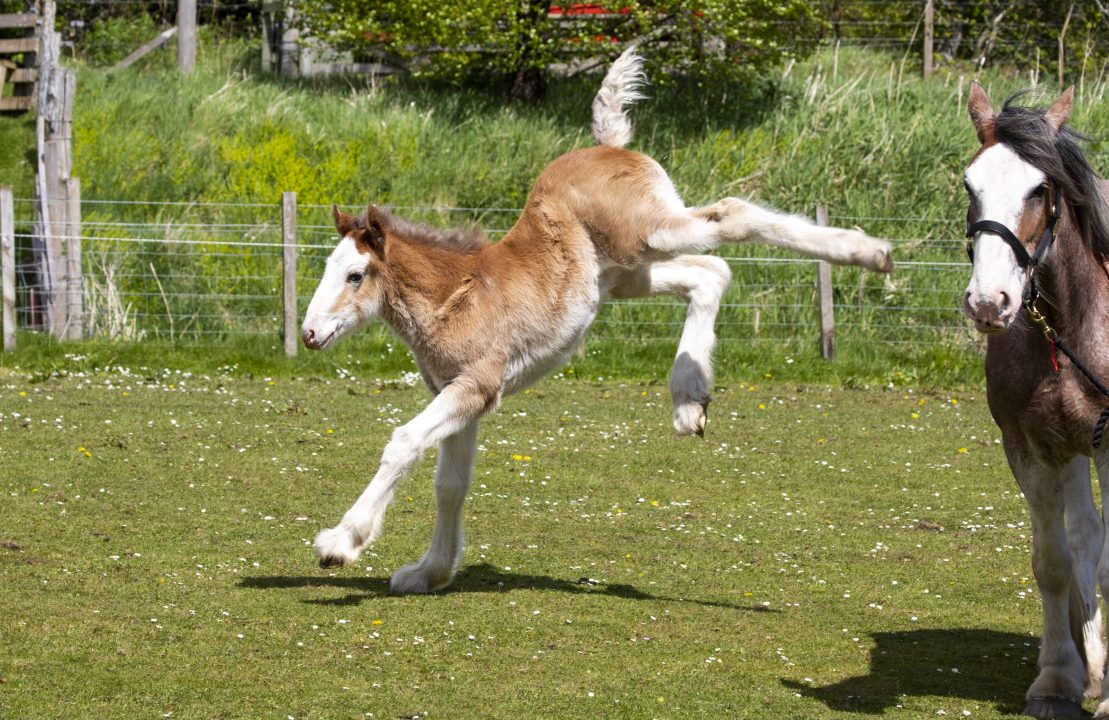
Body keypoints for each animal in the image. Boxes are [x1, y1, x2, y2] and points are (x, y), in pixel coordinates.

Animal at [303, 47, 891, 594]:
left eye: (355, 275)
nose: (309, 333)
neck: (456, 296)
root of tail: (610, 144)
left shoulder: (476, 386)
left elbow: (402, 443)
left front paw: (341, 542)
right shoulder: (459, 397)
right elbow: (450, 485)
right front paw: (429, 572)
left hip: (648, 232)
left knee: (730, 216)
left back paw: (871, 253)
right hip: (626, 273)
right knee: (709, 272)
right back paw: (689, 400)